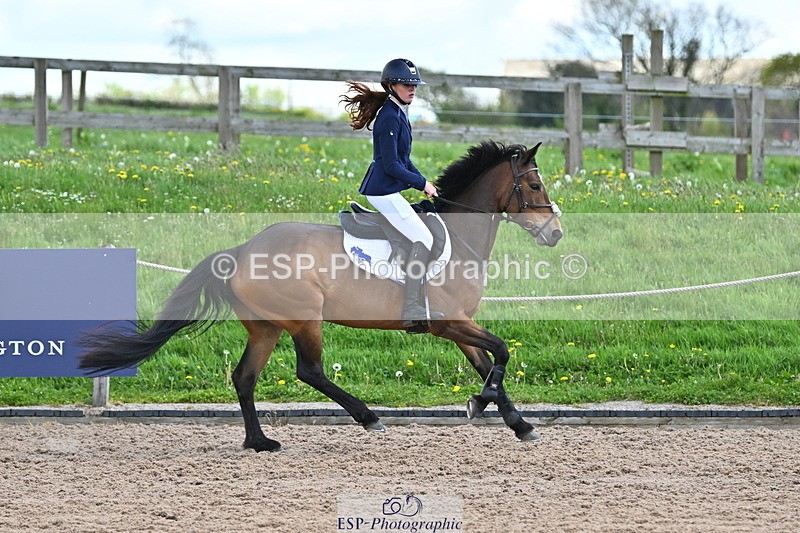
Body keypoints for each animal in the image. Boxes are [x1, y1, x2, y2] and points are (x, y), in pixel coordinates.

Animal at [79, 140, 563, 452]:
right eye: (535, 187)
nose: (556, 233)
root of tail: (241, 250)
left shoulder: (459, 324)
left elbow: (490, 364)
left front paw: (517, 423)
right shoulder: (448, 321)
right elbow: (501, 352)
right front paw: (481, 404)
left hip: (265, 327)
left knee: (245, 377)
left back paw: (259, 442)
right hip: (303, 318)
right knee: (308, 370)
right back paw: (368, 418)